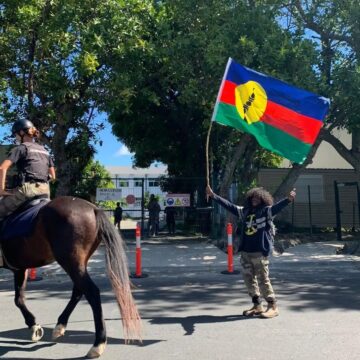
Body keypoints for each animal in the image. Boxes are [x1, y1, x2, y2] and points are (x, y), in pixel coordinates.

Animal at [0, 195, 143, 358]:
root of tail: (93, 209)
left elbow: (18, 300)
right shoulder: (20, 269)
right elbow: (19, 299)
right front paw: (33, 326)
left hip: (69, 260)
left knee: (91, 292)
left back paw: (98, 343)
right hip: (78, 262)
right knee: (79, 290)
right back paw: (60, 326)